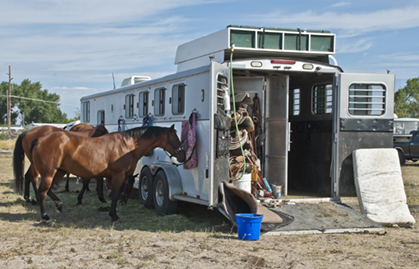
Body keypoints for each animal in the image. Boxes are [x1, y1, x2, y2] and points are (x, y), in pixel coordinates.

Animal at [26, 124, 184, 221]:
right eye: (176, 138)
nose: (183, 153)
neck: (127, 145)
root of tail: (39, 139)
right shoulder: (118, 175)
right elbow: (113, 194)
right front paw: (113, 215)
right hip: (49, 173)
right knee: (42, 191)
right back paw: (45, 216)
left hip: (59, 171)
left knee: (48, 190)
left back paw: (59, 205)